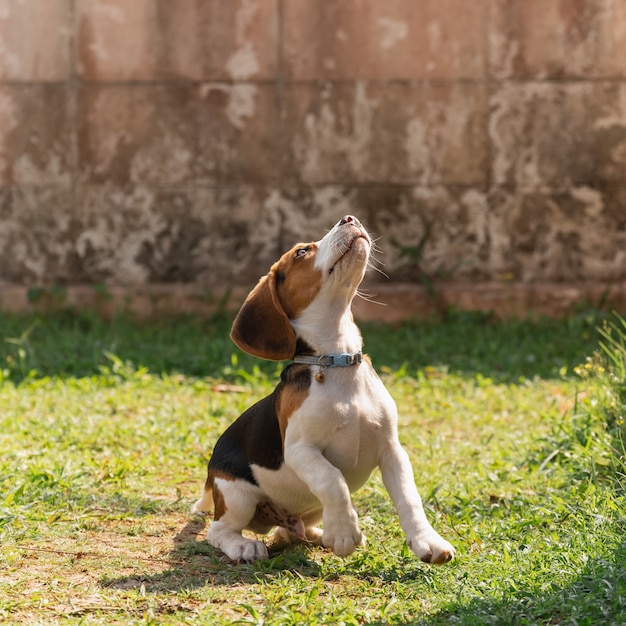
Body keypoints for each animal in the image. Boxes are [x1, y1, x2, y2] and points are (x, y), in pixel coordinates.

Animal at [193, 214, 450, 560]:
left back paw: (316, 535)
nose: (349, 217)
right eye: (302, 252)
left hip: (303, 510)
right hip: (236, 496)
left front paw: (428, 541)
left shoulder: (392, 450)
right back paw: (244, 546)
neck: (339, 361)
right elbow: (333, 480)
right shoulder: (300, 449)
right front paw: (343, 533)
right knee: (219, 530)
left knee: (290, 532)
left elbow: (410, 499)